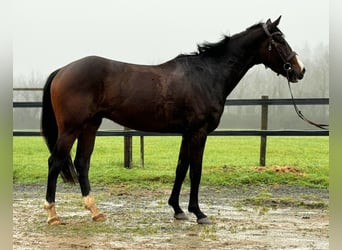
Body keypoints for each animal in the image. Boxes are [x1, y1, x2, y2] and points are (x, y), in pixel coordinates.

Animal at [40, 16, 304, 226]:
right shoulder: (198, 132)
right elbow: (195, 171)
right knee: (55, 162)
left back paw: (95, 212)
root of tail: (62, 70)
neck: (207, 75)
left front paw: (178, 209)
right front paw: (199, 213)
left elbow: (181, 168)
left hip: (90, 126)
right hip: (71, 128)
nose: (300, 70)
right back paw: (53, 215)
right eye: (279, 40)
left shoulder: (187, 133)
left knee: (82, 163)